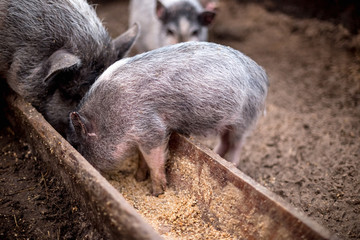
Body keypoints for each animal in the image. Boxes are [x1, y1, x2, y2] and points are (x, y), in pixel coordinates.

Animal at [69, 41, 268, 195]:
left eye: (78, 144)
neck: (111, 115)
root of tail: (262, 74)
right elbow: (142, 158)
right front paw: (138, 178)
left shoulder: (151, 128)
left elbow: (154, 161)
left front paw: (157, 192)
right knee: (225, 141)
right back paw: (218, 155)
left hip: (245, 119)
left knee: (237, 143)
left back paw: (232, 164)